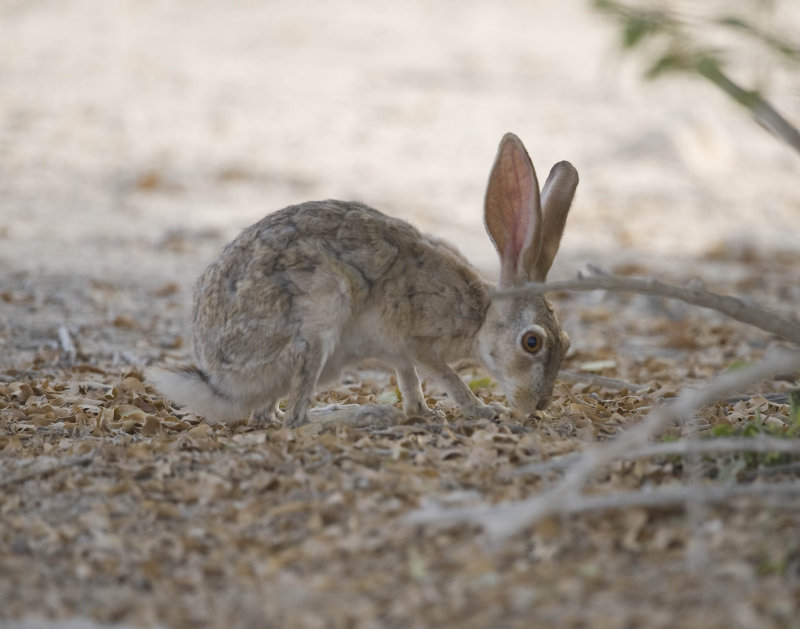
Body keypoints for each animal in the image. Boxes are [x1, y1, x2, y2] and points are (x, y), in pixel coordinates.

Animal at [148, 132, 576, 426]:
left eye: (567, 342)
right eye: (532, 343)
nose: (538, 405)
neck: (482, 315)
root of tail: (217, 377)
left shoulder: (400, 355)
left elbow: (409, 380)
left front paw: (422, 413)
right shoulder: (417, 340)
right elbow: (447, 377)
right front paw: (483, 410)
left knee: (269, 416)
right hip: (320, 316)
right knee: (294, 421)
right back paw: (358, 416)